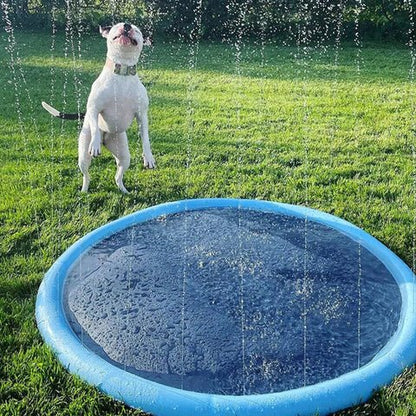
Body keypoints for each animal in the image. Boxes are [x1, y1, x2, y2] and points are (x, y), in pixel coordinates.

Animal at [42, 22, 155, 193]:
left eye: (137, 30)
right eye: (117, 26)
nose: (127, 26)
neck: (122, 74)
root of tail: (105, 139)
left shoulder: (142, 115)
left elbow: (146, 138)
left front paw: (148, 157)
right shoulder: (94, 109)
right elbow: (95, 126)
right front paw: (95, 145)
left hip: (123, 154)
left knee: (118, 175)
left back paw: (124, 190)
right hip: (83, 154)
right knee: (86, 175)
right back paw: (84, 190)